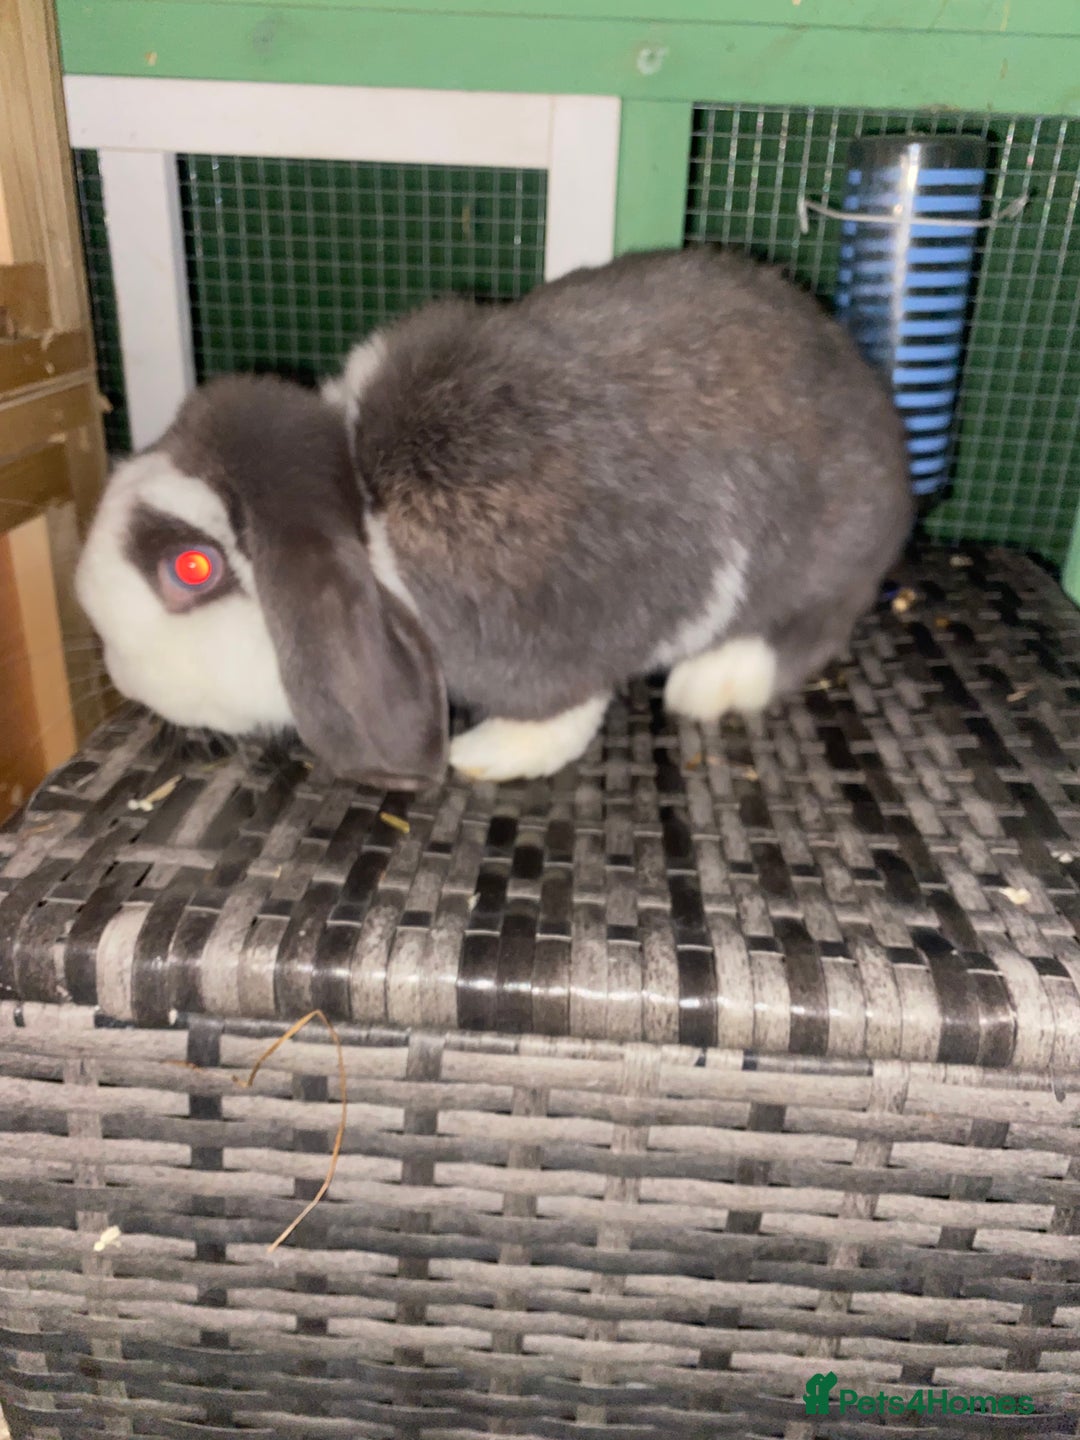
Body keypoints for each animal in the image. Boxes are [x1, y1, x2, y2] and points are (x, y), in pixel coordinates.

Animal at [75, 246, 913, 788]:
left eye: (191, 568)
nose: (118, 673)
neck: (363, 512)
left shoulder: (561, 632)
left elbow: (559, 712)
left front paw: (483, 756)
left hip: (826, 550)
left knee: (813, 622)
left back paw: (713, 680)